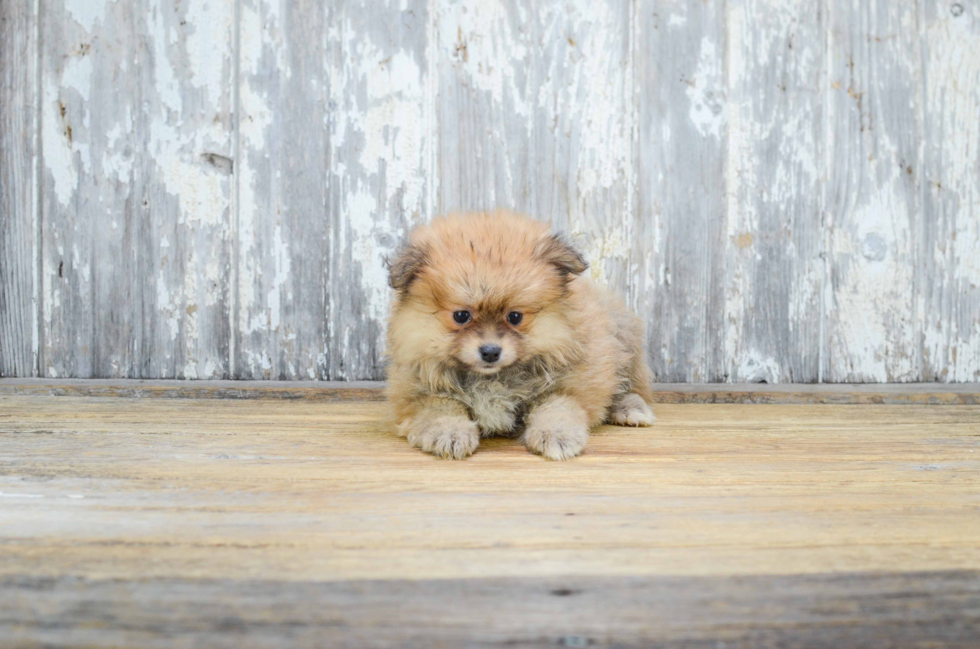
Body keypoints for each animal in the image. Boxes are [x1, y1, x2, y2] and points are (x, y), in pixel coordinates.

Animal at [386, 210, 656, 458]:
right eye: (461, 316)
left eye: (515, 317)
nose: (490, 351)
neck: (491, 379)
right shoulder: (416, 391)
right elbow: (438, 407)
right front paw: (449, 432)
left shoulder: (571, 383)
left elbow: (557, 406)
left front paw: (556, 434)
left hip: (623, 337)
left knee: (630, 386)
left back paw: (630, 409)